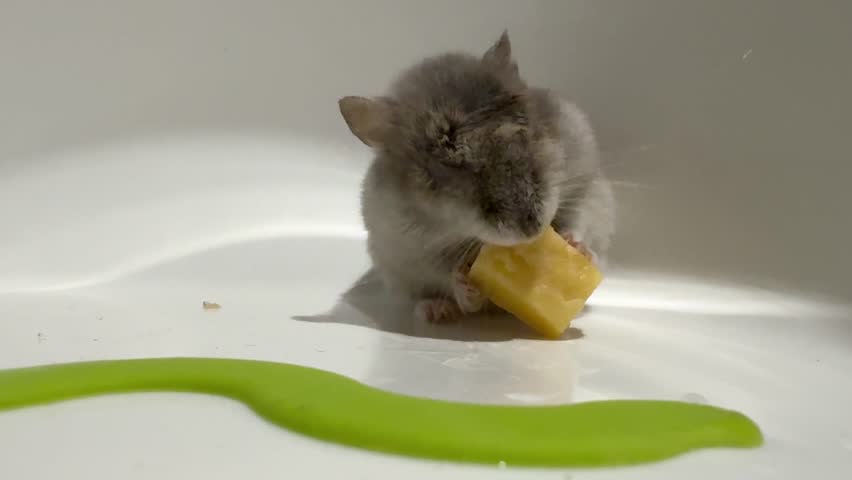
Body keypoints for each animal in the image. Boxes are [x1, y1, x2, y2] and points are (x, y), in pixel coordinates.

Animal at [338, 31, 615, 324]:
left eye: (523, 132)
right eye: (449, 163)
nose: (532, 230)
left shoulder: (586, 181)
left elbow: (579, 219)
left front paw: (577, 247)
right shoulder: (406, 244)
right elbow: (444, 272)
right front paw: (465, 289)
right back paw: (436, 310)